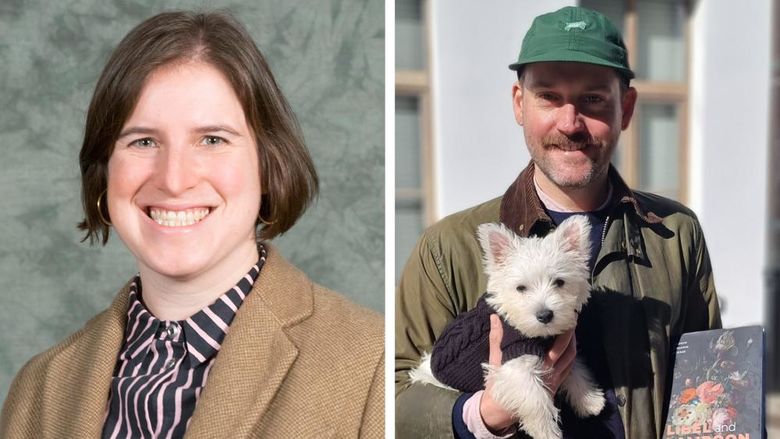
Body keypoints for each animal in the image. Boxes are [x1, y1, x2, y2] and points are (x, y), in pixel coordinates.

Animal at [412, 217, 608, 439]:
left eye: (559, 282)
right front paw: (547, 432)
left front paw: (590, 400)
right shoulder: (514, 364)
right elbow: (535, 399)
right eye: (520, 288)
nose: (545, 315)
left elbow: (576, 369)